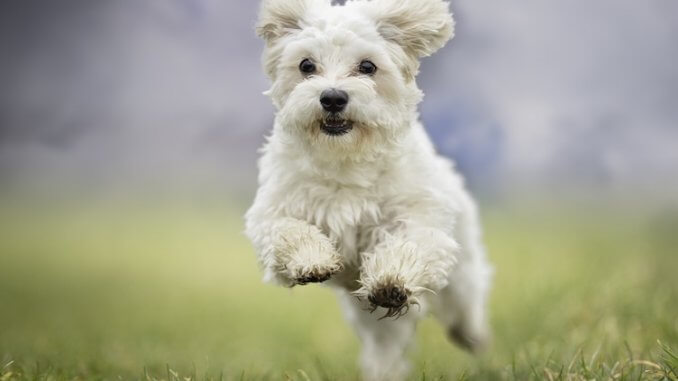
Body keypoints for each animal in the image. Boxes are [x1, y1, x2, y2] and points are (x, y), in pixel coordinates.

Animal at [244, 1, 494, 378]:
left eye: (367, 66)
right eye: (306, 65)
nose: (333, 97)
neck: (345, 156)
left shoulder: (418, 215)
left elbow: (409, 243)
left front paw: (392, 280)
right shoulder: (272, 210)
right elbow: (288, 231)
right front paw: (312, 259)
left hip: (461, 273)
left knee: (465, 302)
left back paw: (473, 334)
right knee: (385, 344)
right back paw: (383, 369)